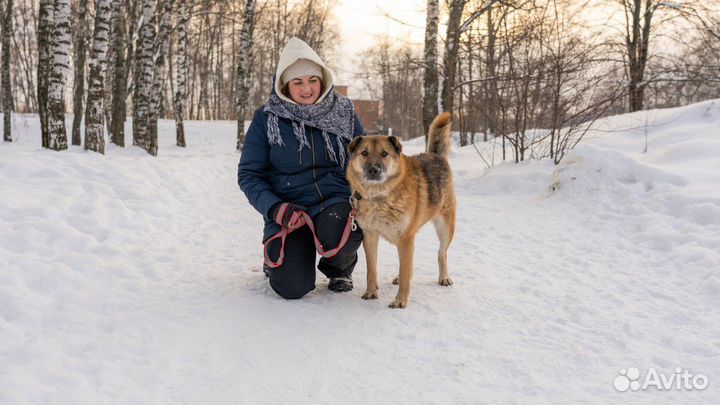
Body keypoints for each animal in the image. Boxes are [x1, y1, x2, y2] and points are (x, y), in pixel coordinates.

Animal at [348, 112, 456, 308]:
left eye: (384, 154)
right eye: (364, 153)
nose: (373, 170)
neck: (379, 197)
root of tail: (435, 156)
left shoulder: (405, 238)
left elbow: (406, 273)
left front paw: (400, 301)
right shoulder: (370, 236)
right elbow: (371, 269)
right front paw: (371, 292)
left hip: (445, 229)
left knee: (441, 253)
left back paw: (443, 277)